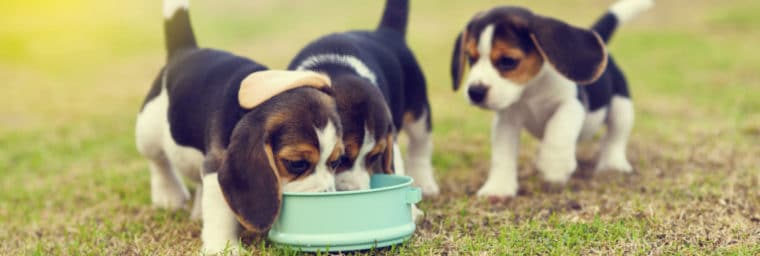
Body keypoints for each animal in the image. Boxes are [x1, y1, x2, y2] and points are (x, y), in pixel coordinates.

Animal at [135, 0, 342, 254]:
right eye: (296, 164)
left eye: (336, 162)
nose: (326, 198)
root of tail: (185, 50)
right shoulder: (217, 166)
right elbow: (221, 213)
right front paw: (223, 247)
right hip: (147, 129)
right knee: (157, 161)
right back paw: (168, 195)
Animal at [286, 0, 440, 196]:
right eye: (341, 158)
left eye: (374, 156)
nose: (352, 191)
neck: (335, 68)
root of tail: (386, 32)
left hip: (419, 113)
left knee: (420, 146)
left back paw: (425, 183)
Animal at [452, 0, 652, 199]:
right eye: (470, 58)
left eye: (508, 61)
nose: (475, 92)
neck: (530, 90)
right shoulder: (506, 120)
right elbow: (502, 154)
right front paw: (498, 188)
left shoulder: (572, 104)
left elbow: (558, 128)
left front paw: (554, 166)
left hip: (622, 107)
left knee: (615, 136)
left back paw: (613, 164)